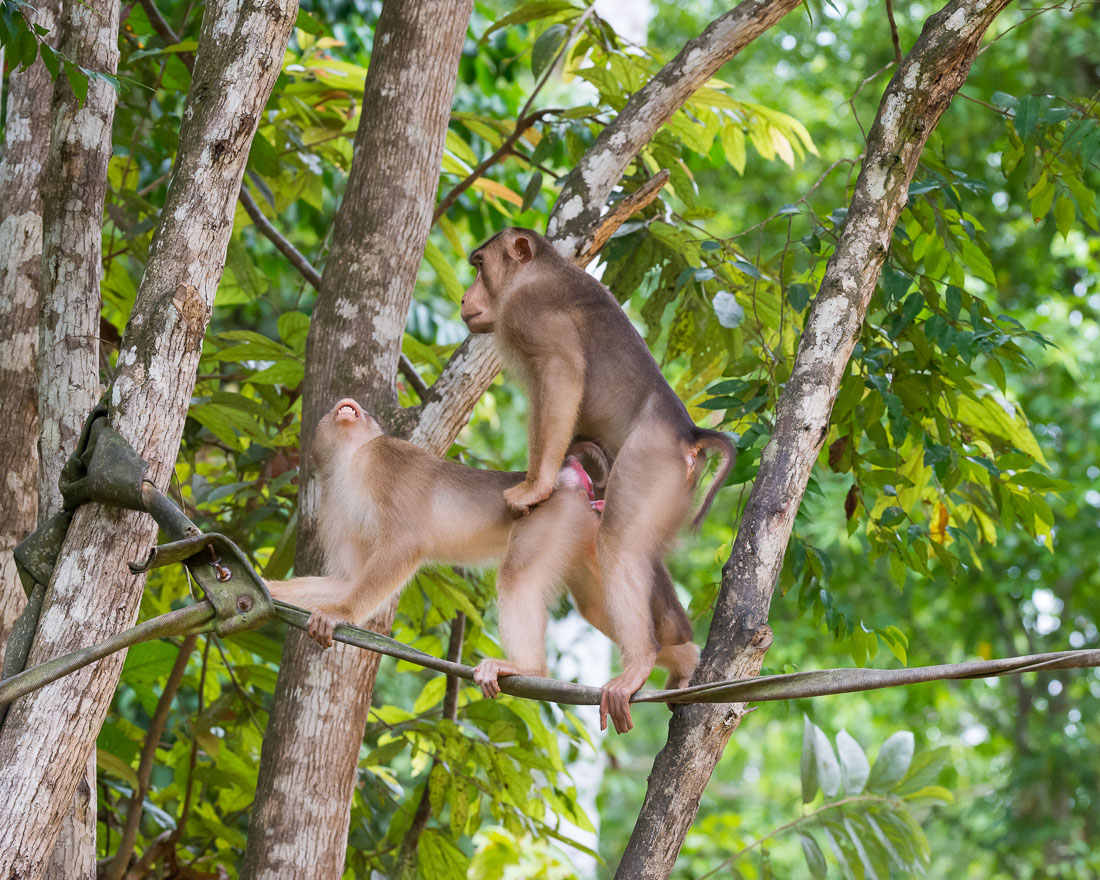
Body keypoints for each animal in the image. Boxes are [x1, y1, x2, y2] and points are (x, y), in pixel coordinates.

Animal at [266, 398, 695, 730]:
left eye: (367, 413)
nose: (348, 405)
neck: (349, 463)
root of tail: (575, 479)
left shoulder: (387, 461)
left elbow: (404, 546)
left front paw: (338, 613)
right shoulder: (330, 506)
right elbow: (347, 578)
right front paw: (266, 590)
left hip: (553, 515)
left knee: (518, 576)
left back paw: (529, 667)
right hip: (579, 532)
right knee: (593, 605)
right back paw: (680, 661)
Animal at [457, 226, 730, 730]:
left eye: (479, 266)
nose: (466, 298)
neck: (537, 273)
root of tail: (688, 434)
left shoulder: (528, 313)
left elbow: (561, 375)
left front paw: (537, 487)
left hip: (649, 463)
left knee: (619, 543)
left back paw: (636, 663)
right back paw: (681, 657)